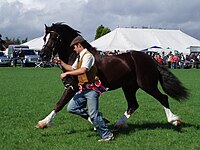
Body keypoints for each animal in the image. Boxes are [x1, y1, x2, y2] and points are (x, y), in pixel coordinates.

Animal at [36, 22, 189, 129]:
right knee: (133, 105)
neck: (76, 56)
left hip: (147, 85)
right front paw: (100, 121)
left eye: (55, 37)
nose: (43, 54)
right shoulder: (78, 88)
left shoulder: (72, 87)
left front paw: (43, 123)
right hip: (129, 87)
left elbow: (60, 104)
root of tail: (150, 59)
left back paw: (174, 121)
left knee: (163, 98)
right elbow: (78, 109)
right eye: (44, 38)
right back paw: (119, 124)